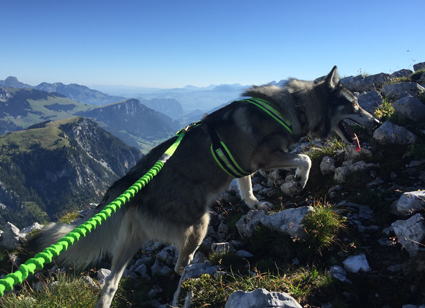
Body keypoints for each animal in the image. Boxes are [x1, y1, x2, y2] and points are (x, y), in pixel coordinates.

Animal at [38, 66, 378, 306]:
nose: (375, 121)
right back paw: (189, 282)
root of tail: (131, 182)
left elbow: (247, 189)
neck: (296, 106)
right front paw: (300, 180)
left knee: (110, 285)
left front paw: (257, 205)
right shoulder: (266, 157)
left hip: (131, 241)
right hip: (198, 224)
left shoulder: (245, 167)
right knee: (179, 268)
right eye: (354, 105)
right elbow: (305, 158)